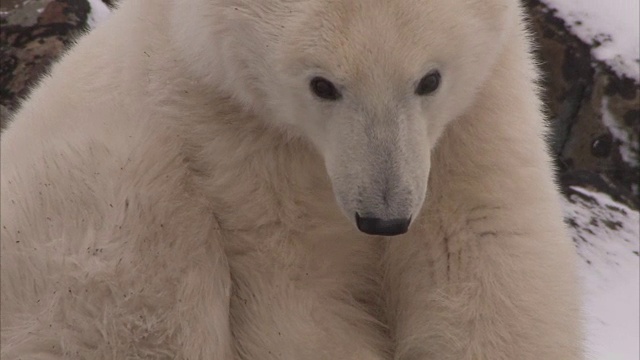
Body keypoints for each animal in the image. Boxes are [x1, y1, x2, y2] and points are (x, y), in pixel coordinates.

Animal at [0, 0, 584, 358]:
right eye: (322, 84)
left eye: (429, 79)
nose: (384, 217)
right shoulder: (232, 137)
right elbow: (299, 293)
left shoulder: (476, 122)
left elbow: (476, 259)